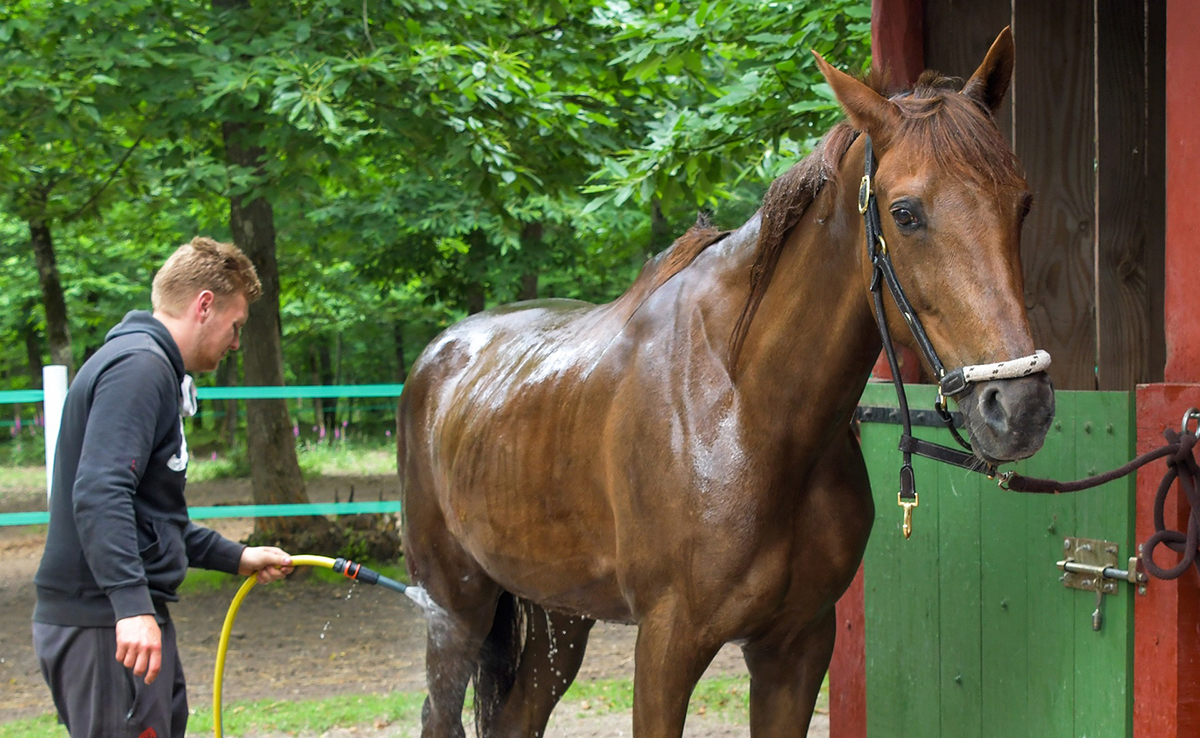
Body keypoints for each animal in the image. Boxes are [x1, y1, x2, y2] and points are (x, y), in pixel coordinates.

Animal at [400, 28, 1051, 738]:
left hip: (559, 615)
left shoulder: (797, 647)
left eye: (1022, 203)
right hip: (454, 607)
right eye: (905, 214)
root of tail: (438, 354)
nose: (1020, 408)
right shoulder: (667, 644)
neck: (746, 412)